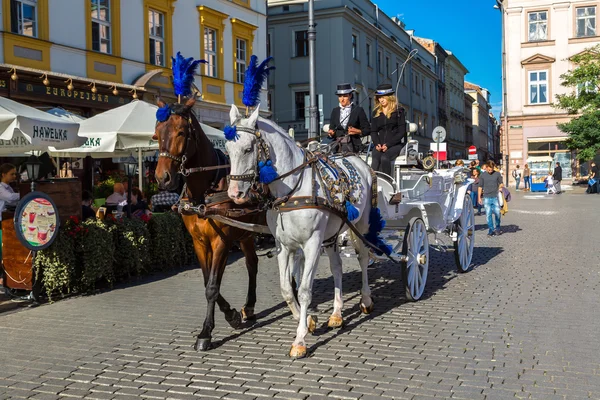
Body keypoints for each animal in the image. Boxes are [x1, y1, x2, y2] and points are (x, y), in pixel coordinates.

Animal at [152, 96, 262, 350]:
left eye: (181, 132)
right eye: (157, 133)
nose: (163, 178)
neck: (204, 191)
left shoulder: (221, 242)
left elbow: (212, 287)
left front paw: (206, 332)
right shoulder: (200, 243)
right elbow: (208, 282)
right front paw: (232, 314)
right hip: (246, 234)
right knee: (252, 264)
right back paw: (249, 307)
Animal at [225, 104, 384, 358]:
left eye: (248, 149)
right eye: (228, 151)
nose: (234, 193)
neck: (292, 190)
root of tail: (357, 160)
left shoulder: (311, 244)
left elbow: (305, 290)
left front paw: (300, 340)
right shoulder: (283, 246)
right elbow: (287, 289)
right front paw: (308, 320)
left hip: (360, 225)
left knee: (362, 257)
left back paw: (366, 299)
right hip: (331, 236)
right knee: (337, 267)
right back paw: (336, 314)